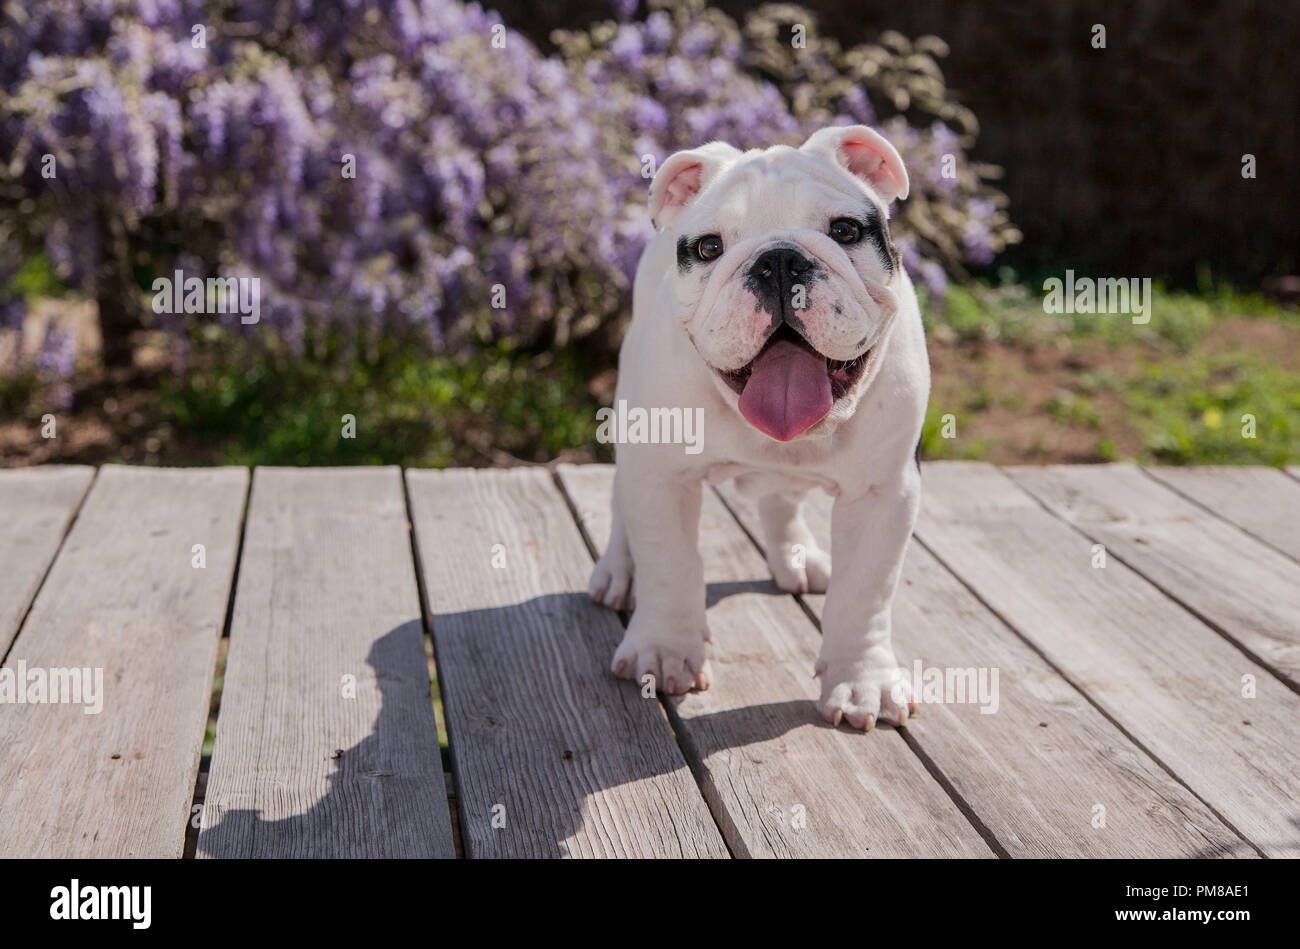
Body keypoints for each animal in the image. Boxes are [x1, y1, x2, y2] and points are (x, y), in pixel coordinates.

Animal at [590, 125, 925, 728]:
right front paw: (665, 651)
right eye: (709, 248)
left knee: (781, 499)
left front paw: (861, 681)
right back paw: (618, 571)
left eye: (845, 230)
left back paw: (795, 555)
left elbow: (865, 591)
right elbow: (670, 564)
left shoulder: (884, 491)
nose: (780, 261)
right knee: (622, 502)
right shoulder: (661, 477)